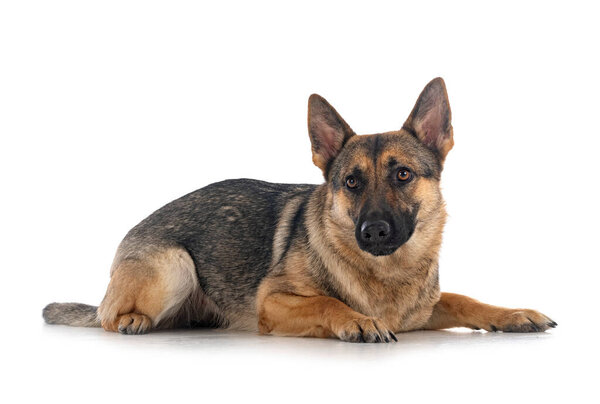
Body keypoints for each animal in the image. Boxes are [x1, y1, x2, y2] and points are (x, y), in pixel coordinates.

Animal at [43, 78, 556, 340]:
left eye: (403, 175)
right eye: (351, 182)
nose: (373, 231)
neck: (387, 274)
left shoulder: (425, 309)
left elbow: (467, 300)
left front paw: (512, 313)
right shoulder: (273, 302)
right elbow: (328, 301)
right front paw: (357, 320)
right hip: (175, 266)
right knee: (109, 317)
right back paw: (130, 320)